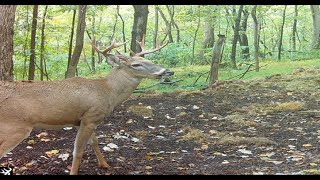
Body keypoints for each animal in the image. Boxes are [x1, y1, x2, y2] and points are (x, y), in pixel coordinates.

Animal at [0, 35, 174, 174]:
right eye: (136, 64)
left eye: (149, 60)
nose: (167, 71)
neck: (107, 92)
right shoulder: (91, 116)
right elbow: (78, 150)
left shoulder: (83, 120)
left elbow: (95, 141)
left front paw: (104, 164)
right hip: (15, 126)